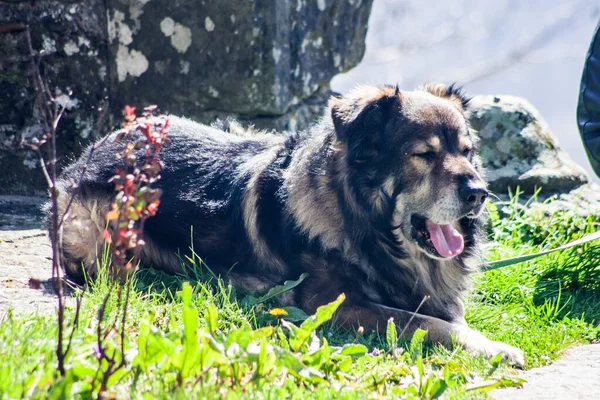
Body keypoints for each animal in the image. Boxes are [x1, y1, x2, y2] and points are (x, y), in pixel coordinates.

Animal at [54, 83, 528, 366]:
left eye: (467, 152)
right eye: (424, 155)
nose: (479, 194)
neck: (361, 223)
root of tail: (96, 148)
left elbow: (444, 315)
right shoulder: (334, 305)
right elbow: (428, 323)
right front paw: (494, 346)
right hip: (91, 236)